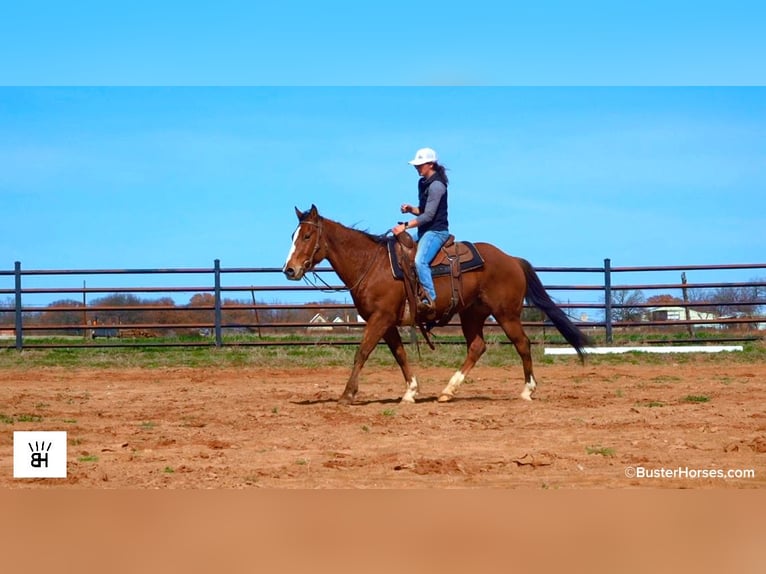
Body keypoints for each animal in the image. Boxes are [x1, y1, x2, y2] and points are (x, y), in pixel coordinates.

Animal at [283, 204, 590, 404]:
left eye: (307, 236)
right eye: (293, 236)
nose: (289, 269)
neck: (372, 264)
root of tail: (511, 259)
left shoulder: (380, 318)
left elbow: (362, 352)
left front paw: (347, 394)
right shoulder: (386, 322)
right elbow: (399, 355)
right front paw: (411, 391)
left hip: (506, 314)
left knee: (522, 344)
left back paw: (527, 390)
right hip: (472, 314)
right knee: (477, 347)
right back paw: (448, 391)